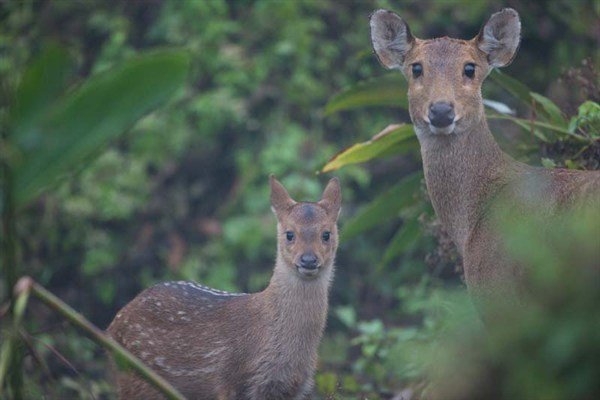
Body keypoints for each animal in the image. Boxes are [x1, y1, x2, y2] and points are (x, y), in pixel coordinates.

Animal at [108, 177, 342, 398]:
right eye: (289, 234)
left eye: (326, 234)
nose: (309, 260)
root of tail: (112, 326)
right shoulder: (233, 381)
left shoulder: (295, 388)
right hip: (137, 380)